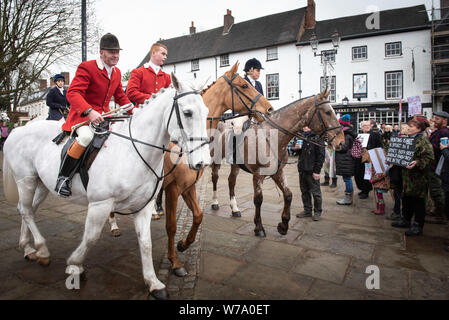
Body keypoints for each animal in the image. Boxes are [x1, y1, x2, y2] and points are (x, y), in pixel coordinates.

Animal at [0, 74, 211, 298]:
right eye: (187, 113)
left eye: (206, 111)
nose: (203, 162)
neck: (132, 151)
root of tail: (18, 129)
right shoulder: (100, 204)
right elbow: (91, 237)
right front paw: (75, 265)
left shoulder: (144, 206)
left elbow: (146, 243)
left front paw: (154, 283)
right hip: (26, 180)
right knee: (26, 210)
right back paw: (41, 249)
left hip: (41, 184)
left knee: (27, 210)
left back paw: (29, 249)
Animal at [108, 63, 272, 278]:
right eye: (245, 85)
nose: (269, 108)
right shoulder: (173, 188)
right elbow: (171, 226)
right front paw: (174, 261)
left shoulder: (188, 186)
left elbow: (198, 216)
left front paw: (184, 244)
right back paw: (115, 224)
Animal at [209, 91, 344, 236]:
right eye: (327, 112)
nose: (341, 142)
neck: (273, 137)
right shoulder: (258, 174)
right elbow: (258, 199)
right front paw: (259, 227)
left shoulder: (278, 171)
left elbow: (288, 195)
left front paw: (283, 225)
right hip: (216, 158)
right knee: (215, 177)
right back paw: (215, 202)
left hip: (235, 164)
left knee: (231, 181)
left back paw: (235, 209)